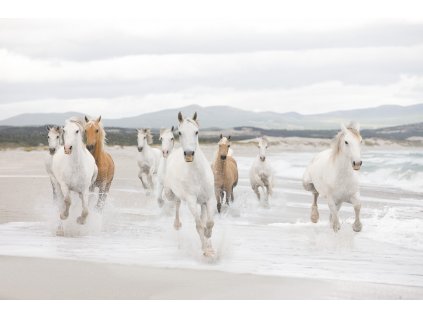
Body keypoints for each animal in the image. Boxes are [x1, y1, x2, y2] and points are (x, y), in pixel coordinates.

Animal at [163, 112, 215, 256]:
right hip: (170, 193)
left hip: (202, 202)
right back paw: (177, 224)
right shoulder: (191, 200)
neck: (197, 174)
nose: (189, 154)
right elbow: (199, 225)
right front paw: (206, 251)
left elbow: (209, 222)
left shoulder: (209, 199)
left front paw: (209, 243)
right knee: (176, 202)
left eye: (196, 132)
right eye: (180, 132)